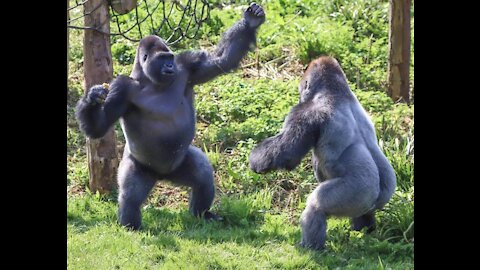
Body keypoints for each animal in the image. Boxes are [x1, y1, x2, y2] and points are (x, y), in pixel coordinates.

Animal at [77, 3, 268, 229]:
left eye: (170, 58)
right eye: (162, 59)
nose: (169, 66)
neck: (150, 80)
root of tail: (162, 177)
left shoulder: (187, 65)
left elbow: (221, 59)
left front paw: (250, 22)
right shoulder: (121, 88)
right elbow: (99, 127)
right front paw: (92, 97)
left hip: (180, 164)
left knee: (202, 175)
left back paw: (202, 213)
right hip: (140, 167)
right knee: (130, 195)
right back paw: (131, 226)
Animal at [249, 56, 396, 250]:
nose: (300, 94)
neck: (336, 91)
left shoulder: (304, 112)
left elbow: (287, 154)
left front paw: (256, 161)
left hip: (358, 192)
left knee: (316, 206)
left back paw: (311, 247)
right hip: (380, 194)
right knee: (364, 213)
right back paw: (364, 230)